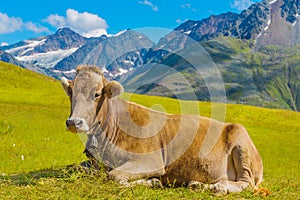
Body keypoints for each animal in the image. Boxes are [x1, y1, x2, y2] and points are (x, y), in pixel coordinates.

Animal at [61, 65, 262, 194]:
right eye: (71, 91)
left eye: (96, 94)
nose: (74, 122)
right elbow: (76, 167)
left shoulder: (151, 160)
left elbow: (114, 176)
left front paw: (152, 182)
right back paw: (198, 184)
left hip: (241, 142)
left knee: (246, 183)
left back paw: (217, 187)